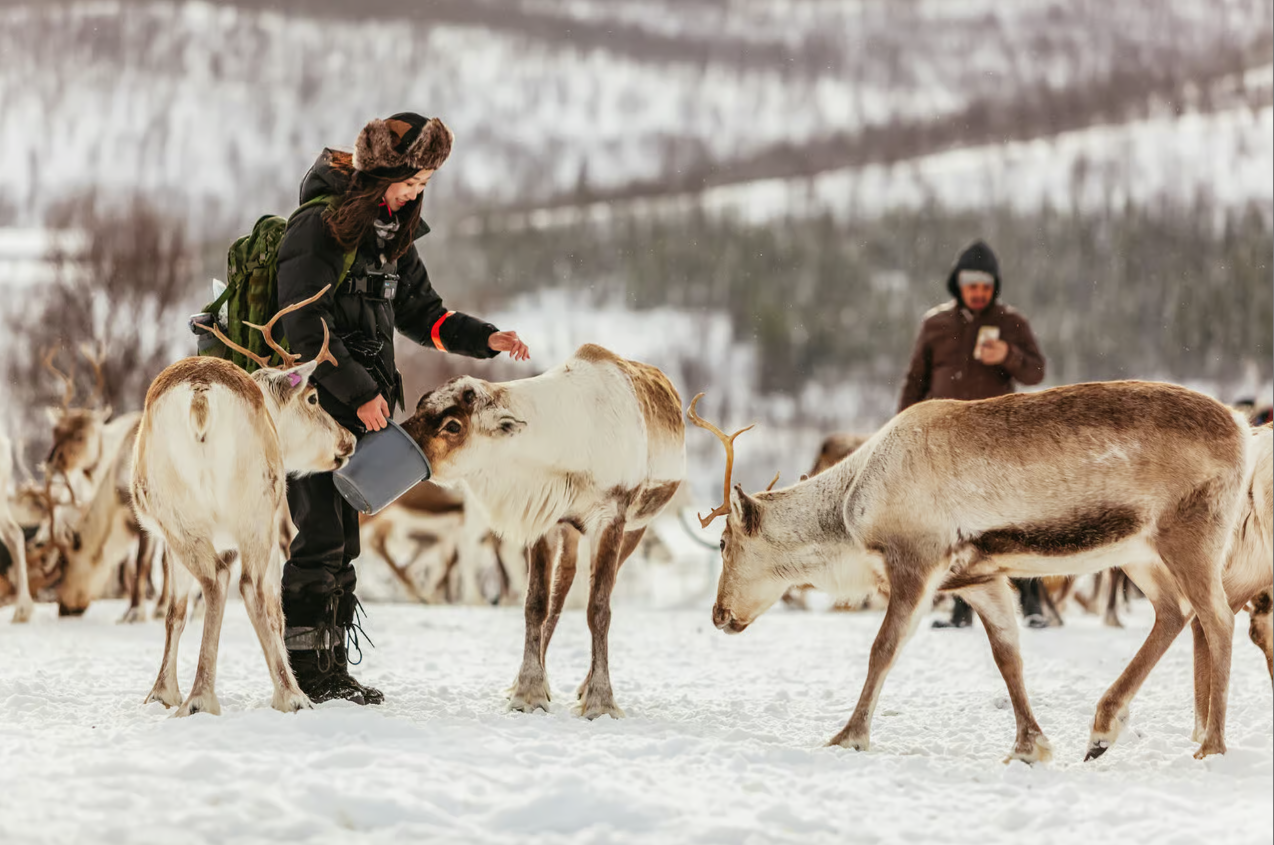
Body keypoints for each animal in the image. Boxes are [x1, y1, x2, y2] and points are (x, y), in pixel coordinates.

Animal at [132, 286, 356, 717]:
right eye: (314, 398)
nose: (348, 439)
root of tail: (200, 396)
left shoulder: (166, 539)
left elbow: (175, 612)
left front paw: (161, 693)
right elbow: (276, 611)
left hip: (178, 512)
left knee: (212, 581)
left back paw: (195, 697)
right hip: (255, 510)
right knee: (250, 588)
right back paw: (287, 695)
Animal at [401, 343, 685, 719]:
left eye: (453, 425)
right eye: (421, 403)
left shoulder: (611, 520)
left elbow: (599, 609)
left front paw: (600, 699)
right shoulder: (544, 519)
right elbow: (536, 603)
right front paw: (528, 690)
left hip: (636, 527)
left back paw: (584, 685)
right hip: (571, 530)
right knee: (562, 586)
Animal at [690, 380, 1253, 763]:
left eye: (723, 542)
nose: (717, 614)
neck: (851, 512)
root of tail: (1243, 429)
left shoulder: (916, 561)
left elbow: (882, 649)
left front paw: (848, 736)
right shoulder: (981, 578)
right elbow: (1009, 657)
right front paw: (1029, 745)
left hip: (1189, 536)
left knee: (1217, 619)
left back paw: (1211, 744)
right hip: (1138, 552)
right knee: (1173, 613)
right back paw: (1102, 730)